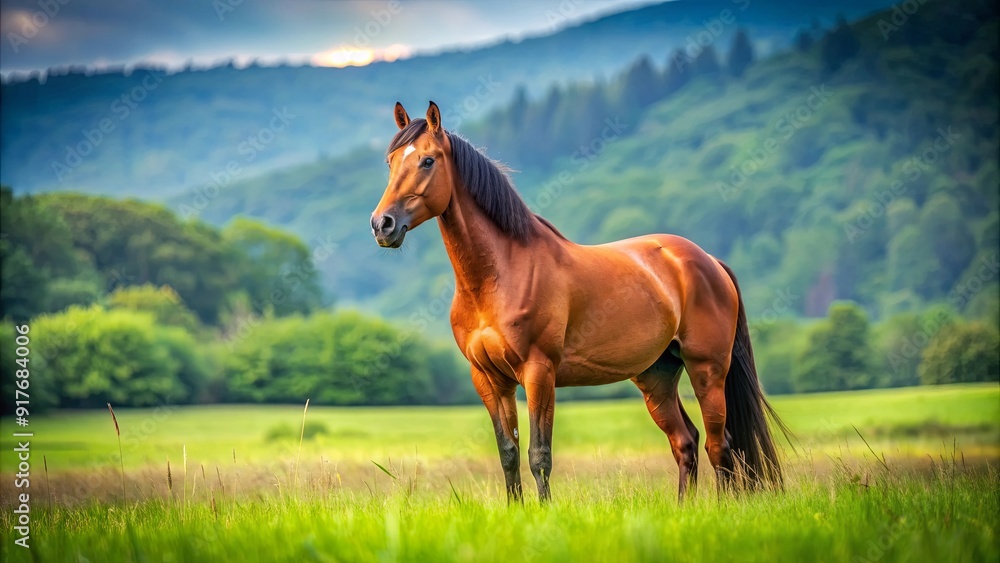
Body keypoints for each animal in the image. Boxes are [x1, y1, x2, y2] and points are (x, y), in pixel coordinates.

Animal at [370, 101, 788, 503]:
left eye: (428, 160)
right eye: (390, 162)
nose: (382, 224)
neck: (499, 274)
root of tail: (708, 261)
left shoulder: (539, 372)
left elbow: (539, 455)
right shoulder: (489, 379)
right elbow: (508, 454)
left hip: (707, 370)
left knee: (721, 446)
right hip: (656, 377)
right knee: (686, 442)